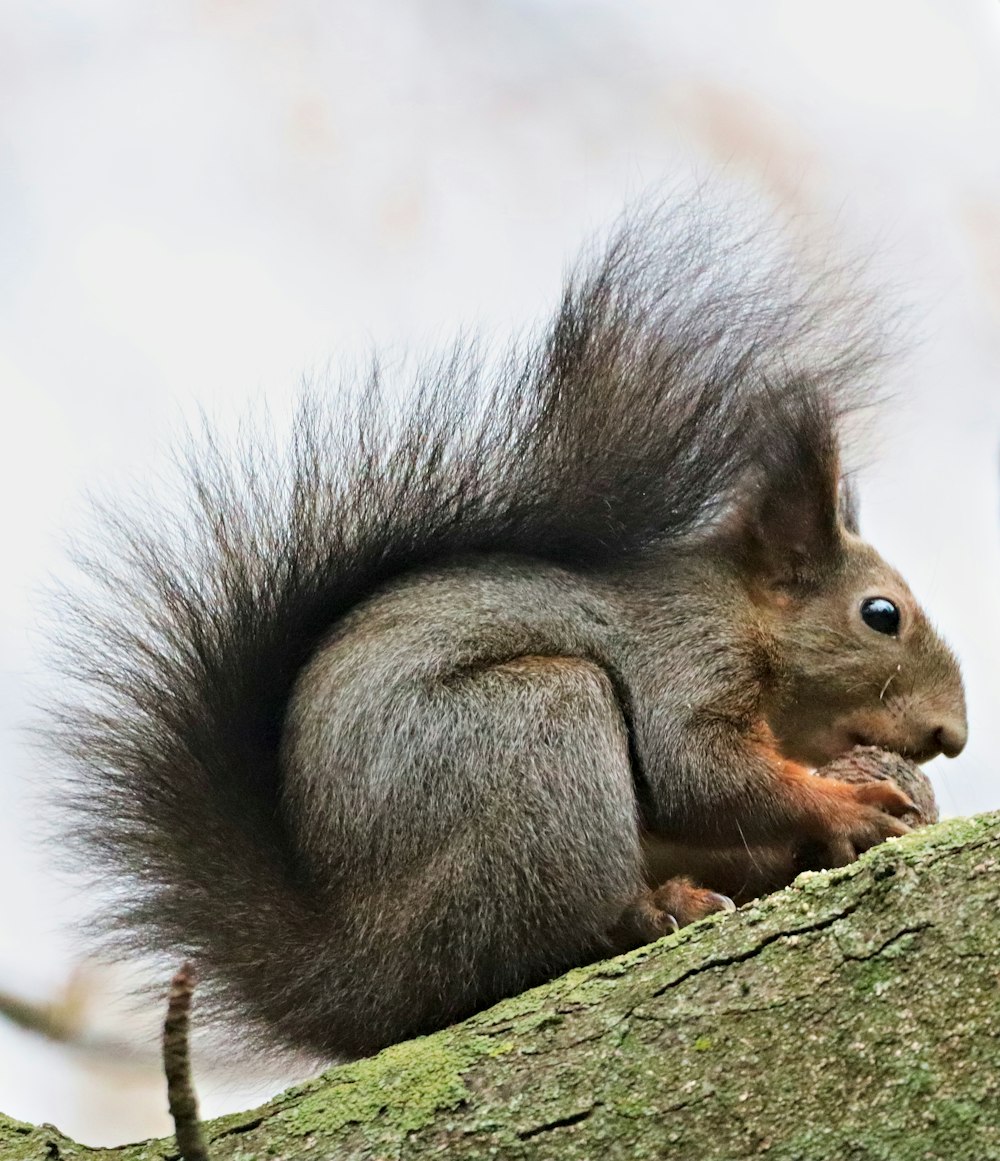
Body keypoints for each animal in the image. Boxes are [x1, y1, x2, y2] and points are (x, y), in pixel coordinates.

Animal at [42, 202, 961, 1063]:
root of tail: (366, 969)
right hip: (535, 734)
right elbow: (698, 770)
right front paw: (847, 804)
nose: (952, 734)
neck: (740, 611)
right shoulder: (687, 653)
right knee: (547, 935)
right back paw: (654, 908)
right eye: (881, 614)